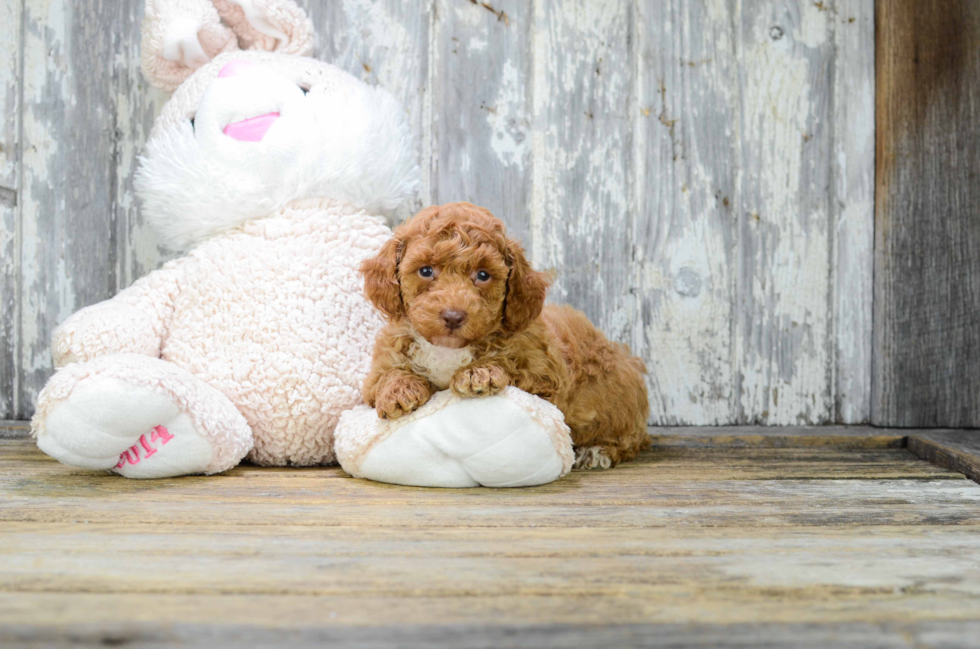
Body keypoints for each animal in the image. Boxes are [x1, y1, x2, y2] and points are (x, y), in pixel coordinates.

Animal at [360, 201, 652, 466]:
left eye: (483, 275)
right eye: (426, 271)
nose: (453, 316)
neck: (448, 349)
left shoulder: (546, 375)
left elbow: (509, 362)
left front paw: (480, 373)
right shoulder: (380, 367)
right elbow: (386, 376)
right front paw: (399, 390)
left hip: (622, 412)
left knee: (630, 440)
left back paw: (596, 451)